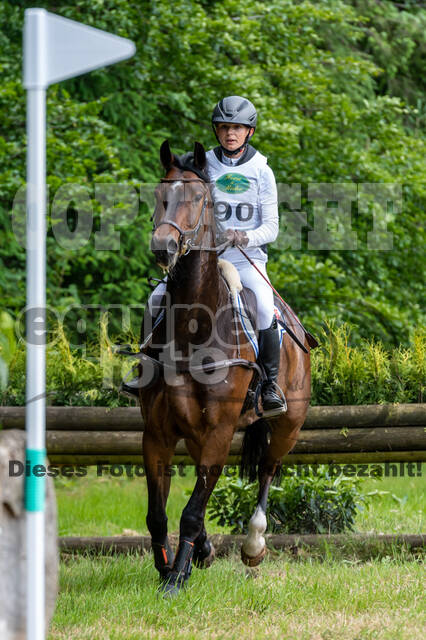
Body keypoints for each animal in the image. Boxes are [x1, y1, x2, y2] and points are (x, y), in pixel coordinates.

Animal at [138, 140, 311, 596]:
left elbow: (191, 511)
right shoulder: (157, 434)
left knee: (268, 470)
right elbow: (159, 513)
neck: (193, 328)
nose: (163, 246)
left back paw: (253, 545)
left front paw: (175, 578)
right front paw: (171, 565)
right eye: (159, 195)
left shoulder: (218, 431)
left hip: (287, 426)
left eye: (199, 199)